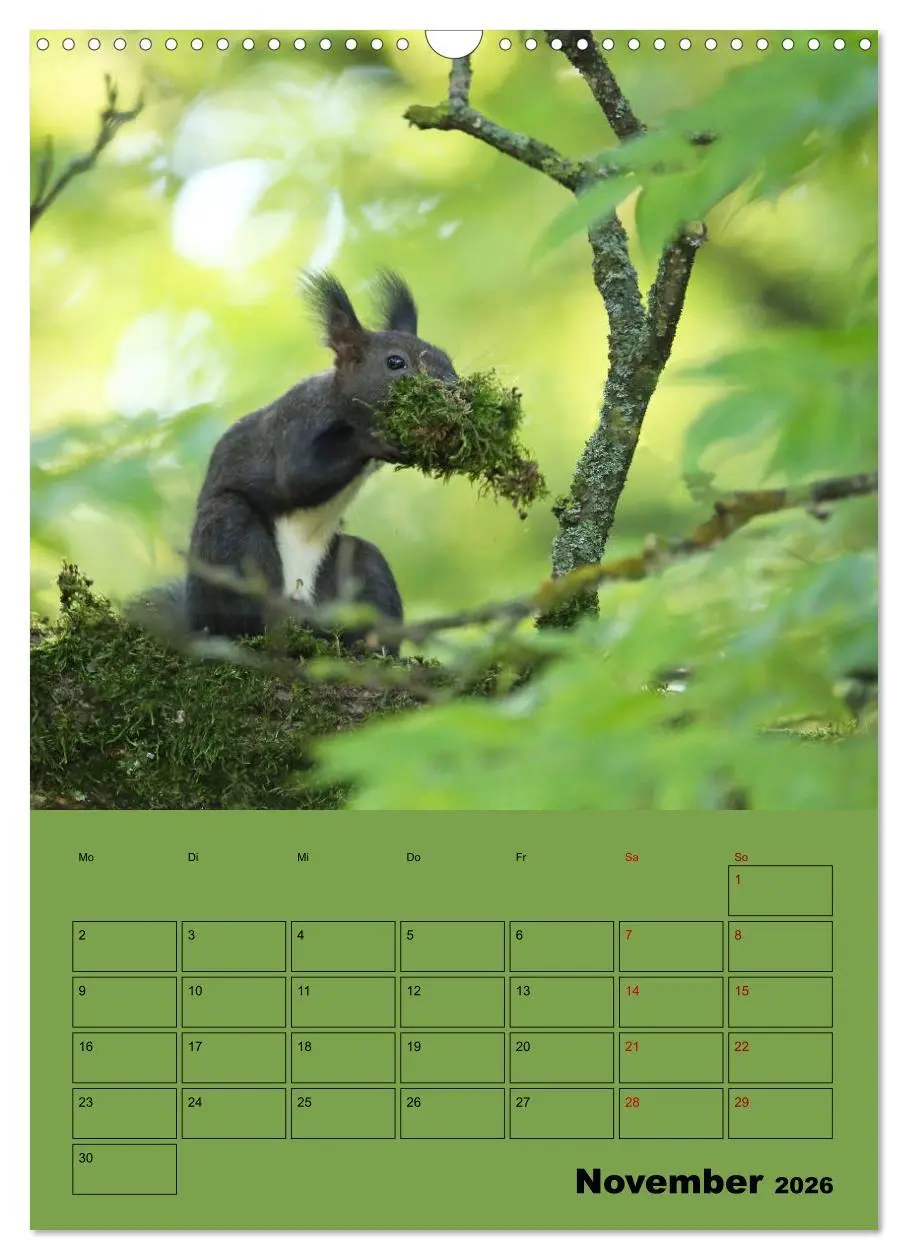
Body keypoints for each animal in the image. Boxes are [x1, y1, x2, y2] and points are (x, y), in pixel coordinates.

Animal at [136, 272, 457, 650]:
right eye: (395, 362)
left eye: (447, 357)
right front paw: (377, 438)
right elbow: (296, 478)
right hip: (228, 541)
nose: (456, 388)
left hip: (355, 571)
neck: (338, 405)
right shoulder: (293, 427)